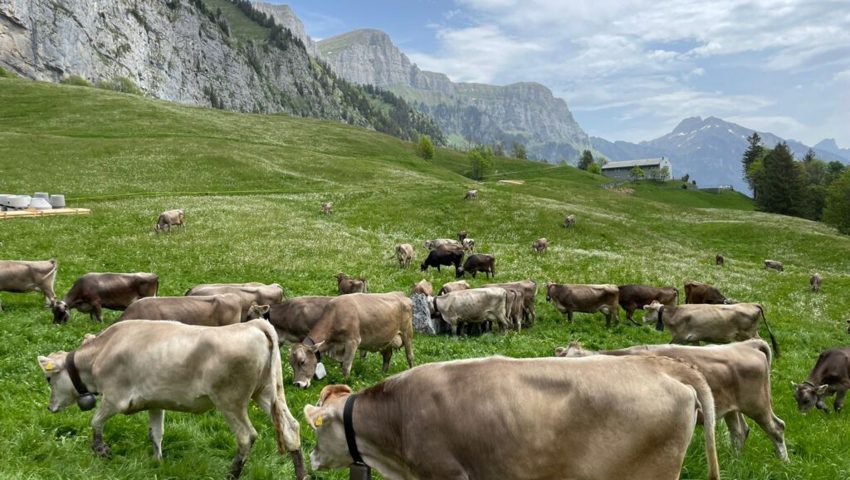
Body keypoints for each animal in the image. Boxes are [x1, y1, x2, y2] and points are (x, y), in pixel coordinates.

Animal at [38, 318, 308, 480]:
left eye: (49, 379)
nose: (50, 408)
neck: (103, 351)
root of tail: (254, 324)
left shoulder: (115, 398)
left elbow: (95, 421)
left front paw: (101, 449)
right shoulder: (155, 402)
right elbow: (156, 433)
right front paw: (158, 462)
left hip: (230, 400)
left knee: (246, 436)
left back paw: (231, 474)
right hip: (268, 392)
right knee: (291, 427)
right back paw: (301, 474)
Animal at [556, 338, 788, 462]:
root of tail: (746, 344)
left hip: (757, 404)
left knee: (777, 428)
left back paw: (784, 462)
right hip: (732, 408)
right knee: (739, 431)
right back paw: (734, 461)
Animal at [644, 302, 776, 354]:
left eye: (649, 310)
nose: (643, 319)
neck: (675, 314)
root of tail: (753, 304)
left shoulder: (679, 337)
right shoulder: (694, 339)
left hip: (748, 334)